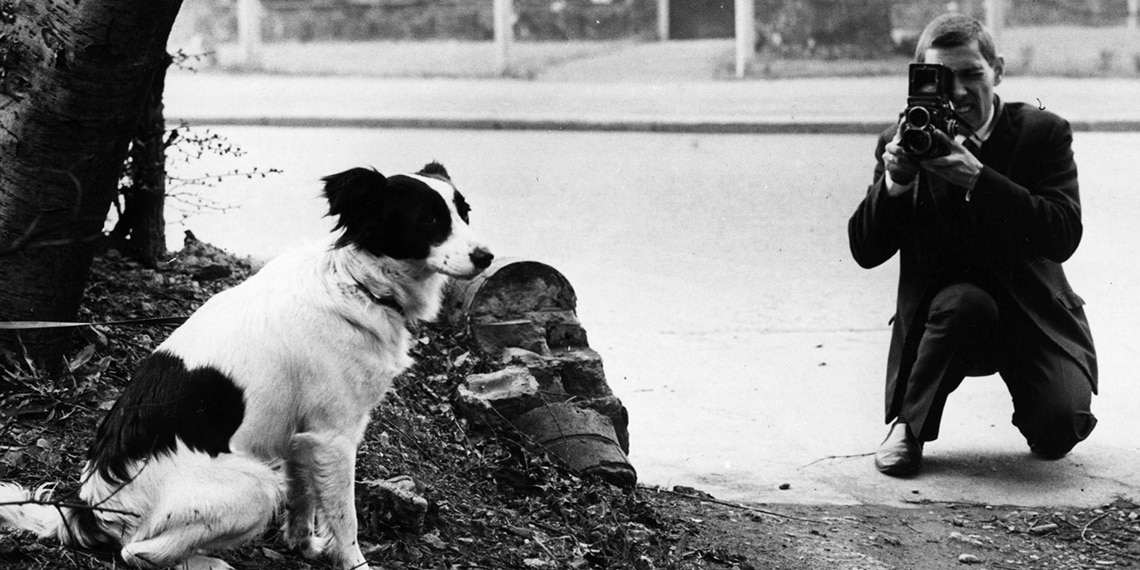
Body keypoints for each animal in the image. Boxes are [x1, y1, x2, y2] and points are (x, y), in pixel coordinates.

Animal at [0, 163, 492, 567]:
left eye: (465, 212)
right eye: (429, 219)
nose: (487, 257)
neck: (356, 283)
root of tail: (87, 508)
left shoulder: (302, 435)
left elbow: (303, 498)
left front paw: (303, 545)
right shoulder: (334, 436)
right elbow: (345, 519)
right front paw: (352, 563)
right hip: (254, 486)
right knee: (136, 552)